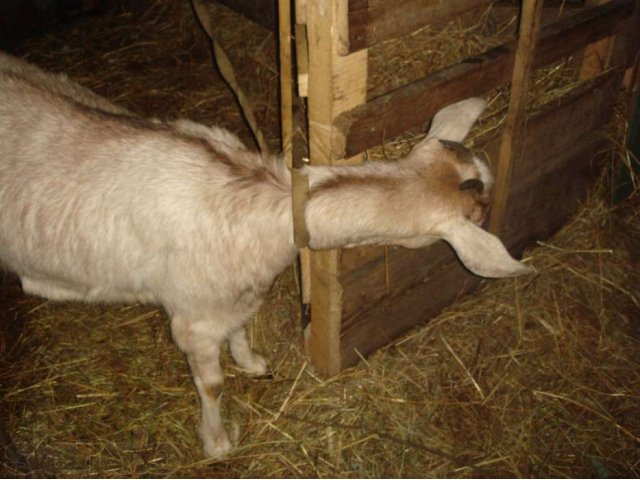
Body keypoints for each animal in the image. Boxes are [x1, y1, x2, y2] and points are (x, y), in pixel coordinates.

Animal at [0, 52, 528, 458]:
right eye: (480, 213)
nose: (495, 209)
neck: (266, 203)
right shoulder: (193, 317)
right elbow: (212, 384)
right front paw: (216, 443)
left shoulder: (237, 292)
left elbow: (242, 326)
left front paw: (251, 360)